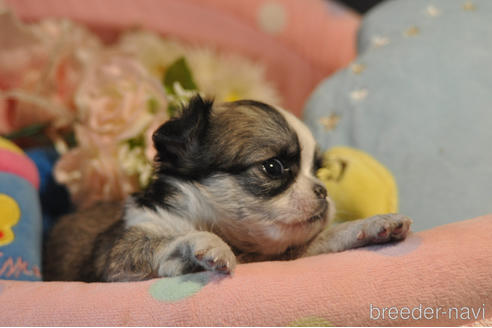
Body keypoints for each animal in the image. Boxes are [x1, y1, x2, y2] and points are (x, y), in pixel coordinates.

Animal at [43, 95, 412, 282]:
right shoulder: (121, 258)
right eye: (273, 167)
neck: (243, 246)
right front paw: (209, 244)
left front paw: (375, 225)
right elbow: (173, 240)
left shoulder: (291, 255)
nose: (322, 191)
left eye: (317, 171)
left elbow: (330, 237)